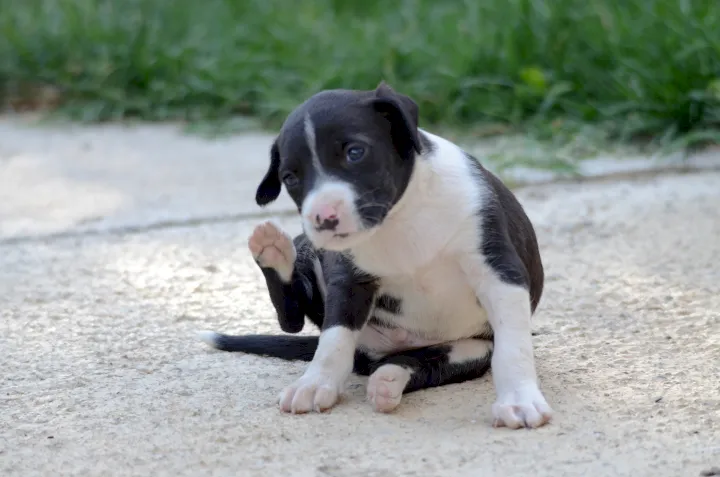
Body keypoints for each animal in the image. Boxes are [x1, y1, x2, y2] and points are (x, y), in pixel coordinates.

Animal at [200, 81, 556, 428]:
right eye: (290, 177)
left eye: (355, 152)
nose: (323, 217)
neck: (399, 219)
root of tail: (377, 353)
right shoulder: (349, 281)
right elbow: (333, 340)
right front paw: (314, 384)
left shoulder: (499, 273)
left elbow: (512, 346)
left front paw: (519, 400)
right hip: (313, 259)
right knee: (293, 319)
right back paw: (273, 251)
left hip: (472, 349)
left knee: (428, 363)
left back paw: (390, 379)